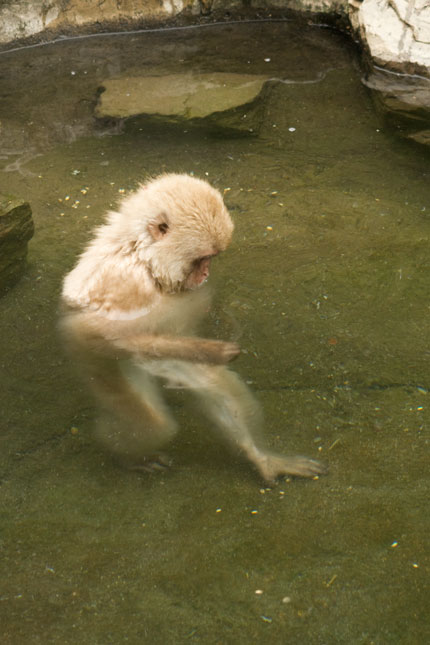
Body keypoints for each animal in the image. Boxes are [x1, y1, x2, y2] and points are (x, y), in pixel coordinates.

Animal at [58, 174, 324, 480]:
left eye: (212, 258)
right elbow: (97, 333)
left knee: (216, 385)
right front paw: (211, 350)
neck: (144, 259)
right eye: (202, 258)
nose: (206, 272)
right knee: (156, 424)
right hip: (99, 369)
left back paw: (261, 457)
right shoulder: (125, 286)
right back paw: (125, 454)